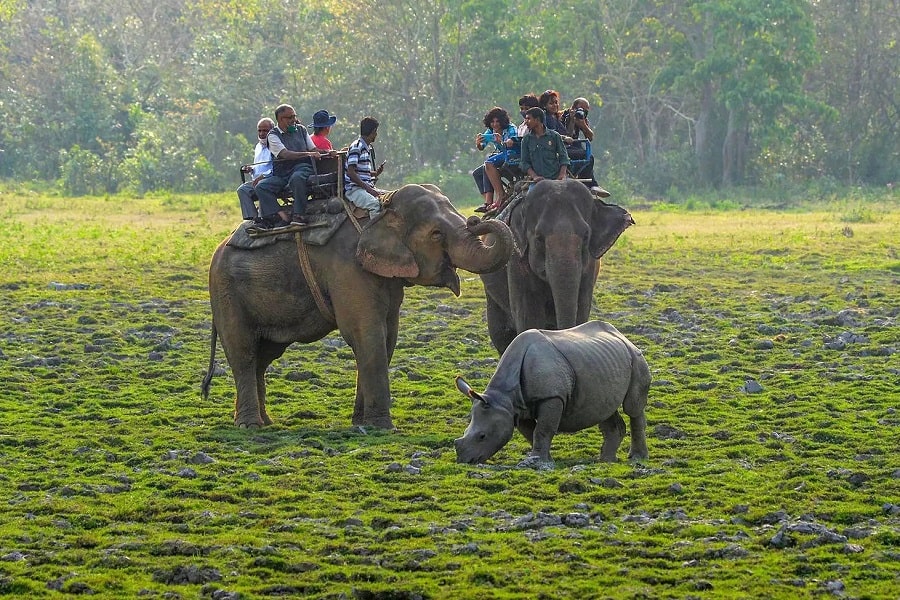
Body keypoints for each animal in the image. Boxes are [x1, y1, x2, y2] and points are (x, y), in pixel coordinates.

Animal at [202, 185, 512, 428]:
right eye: (436, 234)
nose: (476, 218)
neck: (380, 210)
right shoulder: (347, 269)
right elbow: (366, 335)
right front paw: (382, 427)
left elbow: (387, 339)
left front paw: (361, 423)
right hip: (226, 292)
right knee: (243, 352)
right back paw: (250, 425)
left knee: (263, 356)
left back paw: (265, 422)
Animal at [478, 180, 632, 354]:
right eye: (539, 238)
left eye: (586, 236)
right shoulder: (516, 259)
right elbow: (528, 313)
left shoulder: (590, 267)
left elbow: (582, 307)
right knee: (501, 333)